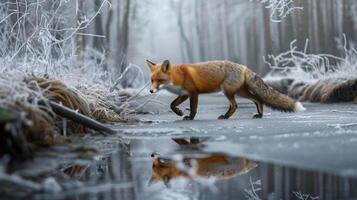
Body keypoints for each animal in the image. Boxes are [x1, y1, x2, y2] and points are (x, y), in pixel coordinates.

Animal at [146, 59, 304, 120]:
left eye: (160, 80)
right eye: (152, 80)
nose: (151, 91)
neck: (178, 76)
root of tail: (243, 67)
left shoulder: (193, 92)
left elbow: (193, 108)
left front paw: (189, 118)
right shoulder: (184, 94)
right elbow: (172, 104)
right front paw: (178, 112)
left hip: (227, 91)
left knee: (235, 105)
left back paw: (226, 116)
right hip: (240, 92)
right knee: (258, 100)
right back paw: (259, 115)